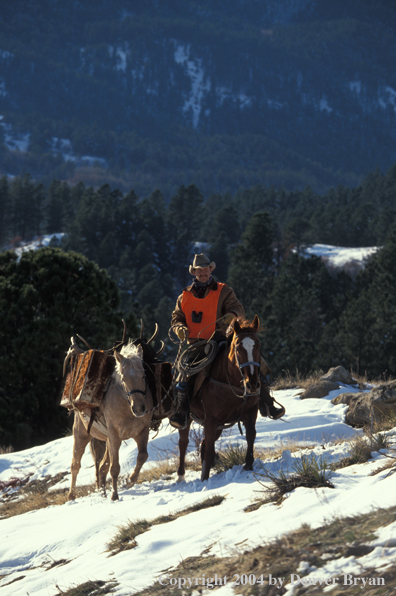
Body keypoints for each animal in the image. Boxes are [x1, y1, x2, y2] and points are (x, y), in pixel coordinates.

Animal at [68, 340, 153, 498]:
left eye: (143, 376)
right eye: (124, 378)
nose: (139, 409)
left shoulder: (142, 432)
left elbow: (142, 456)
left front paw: (130, 480)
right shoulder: (115, 437)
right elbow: (115, 468)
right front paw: (115, 495)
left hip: (107, 440)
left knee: (102, 466)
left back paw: (102, 492)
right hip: (81, 435)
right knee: (75, 465)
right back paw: (71, 496)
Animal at [178, 316, 262, 480]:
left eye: (258, 346)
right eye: (238, 348)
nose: (253, 384)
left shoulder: (250, 412)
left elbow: (250, 436)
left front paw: (248, 466)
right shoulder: (211, 420)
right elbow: (210, 451)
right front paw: (205, 480)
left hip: (218, 426)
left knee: (203, 444)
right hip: (188, 419)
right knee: (183, 443)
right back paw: (181, 476)